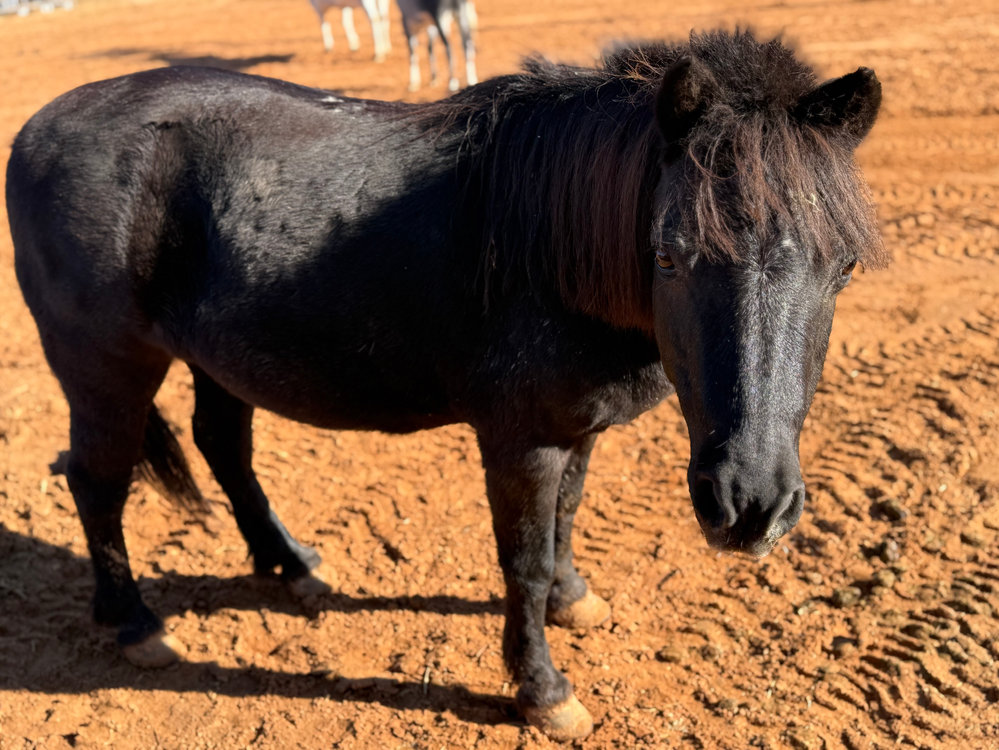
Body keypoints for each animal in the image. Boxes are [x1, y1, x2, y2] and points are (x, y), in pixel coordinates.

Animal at [6, 29, 886, 741]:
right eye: (668, 254)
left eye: (843, 268)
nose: (751, 505)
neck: (547, 245)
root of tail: (37, 129)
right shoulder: (520, 441)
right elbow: (522, 558)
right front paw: (542, 691)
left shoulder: (577, 428)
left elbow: (566, 522)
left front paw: (573, 599)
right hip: (105, 364)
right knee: (98, 479)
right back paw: (135, 623)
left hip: (216, 354)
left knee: (223, 447)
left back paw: (288, 564)